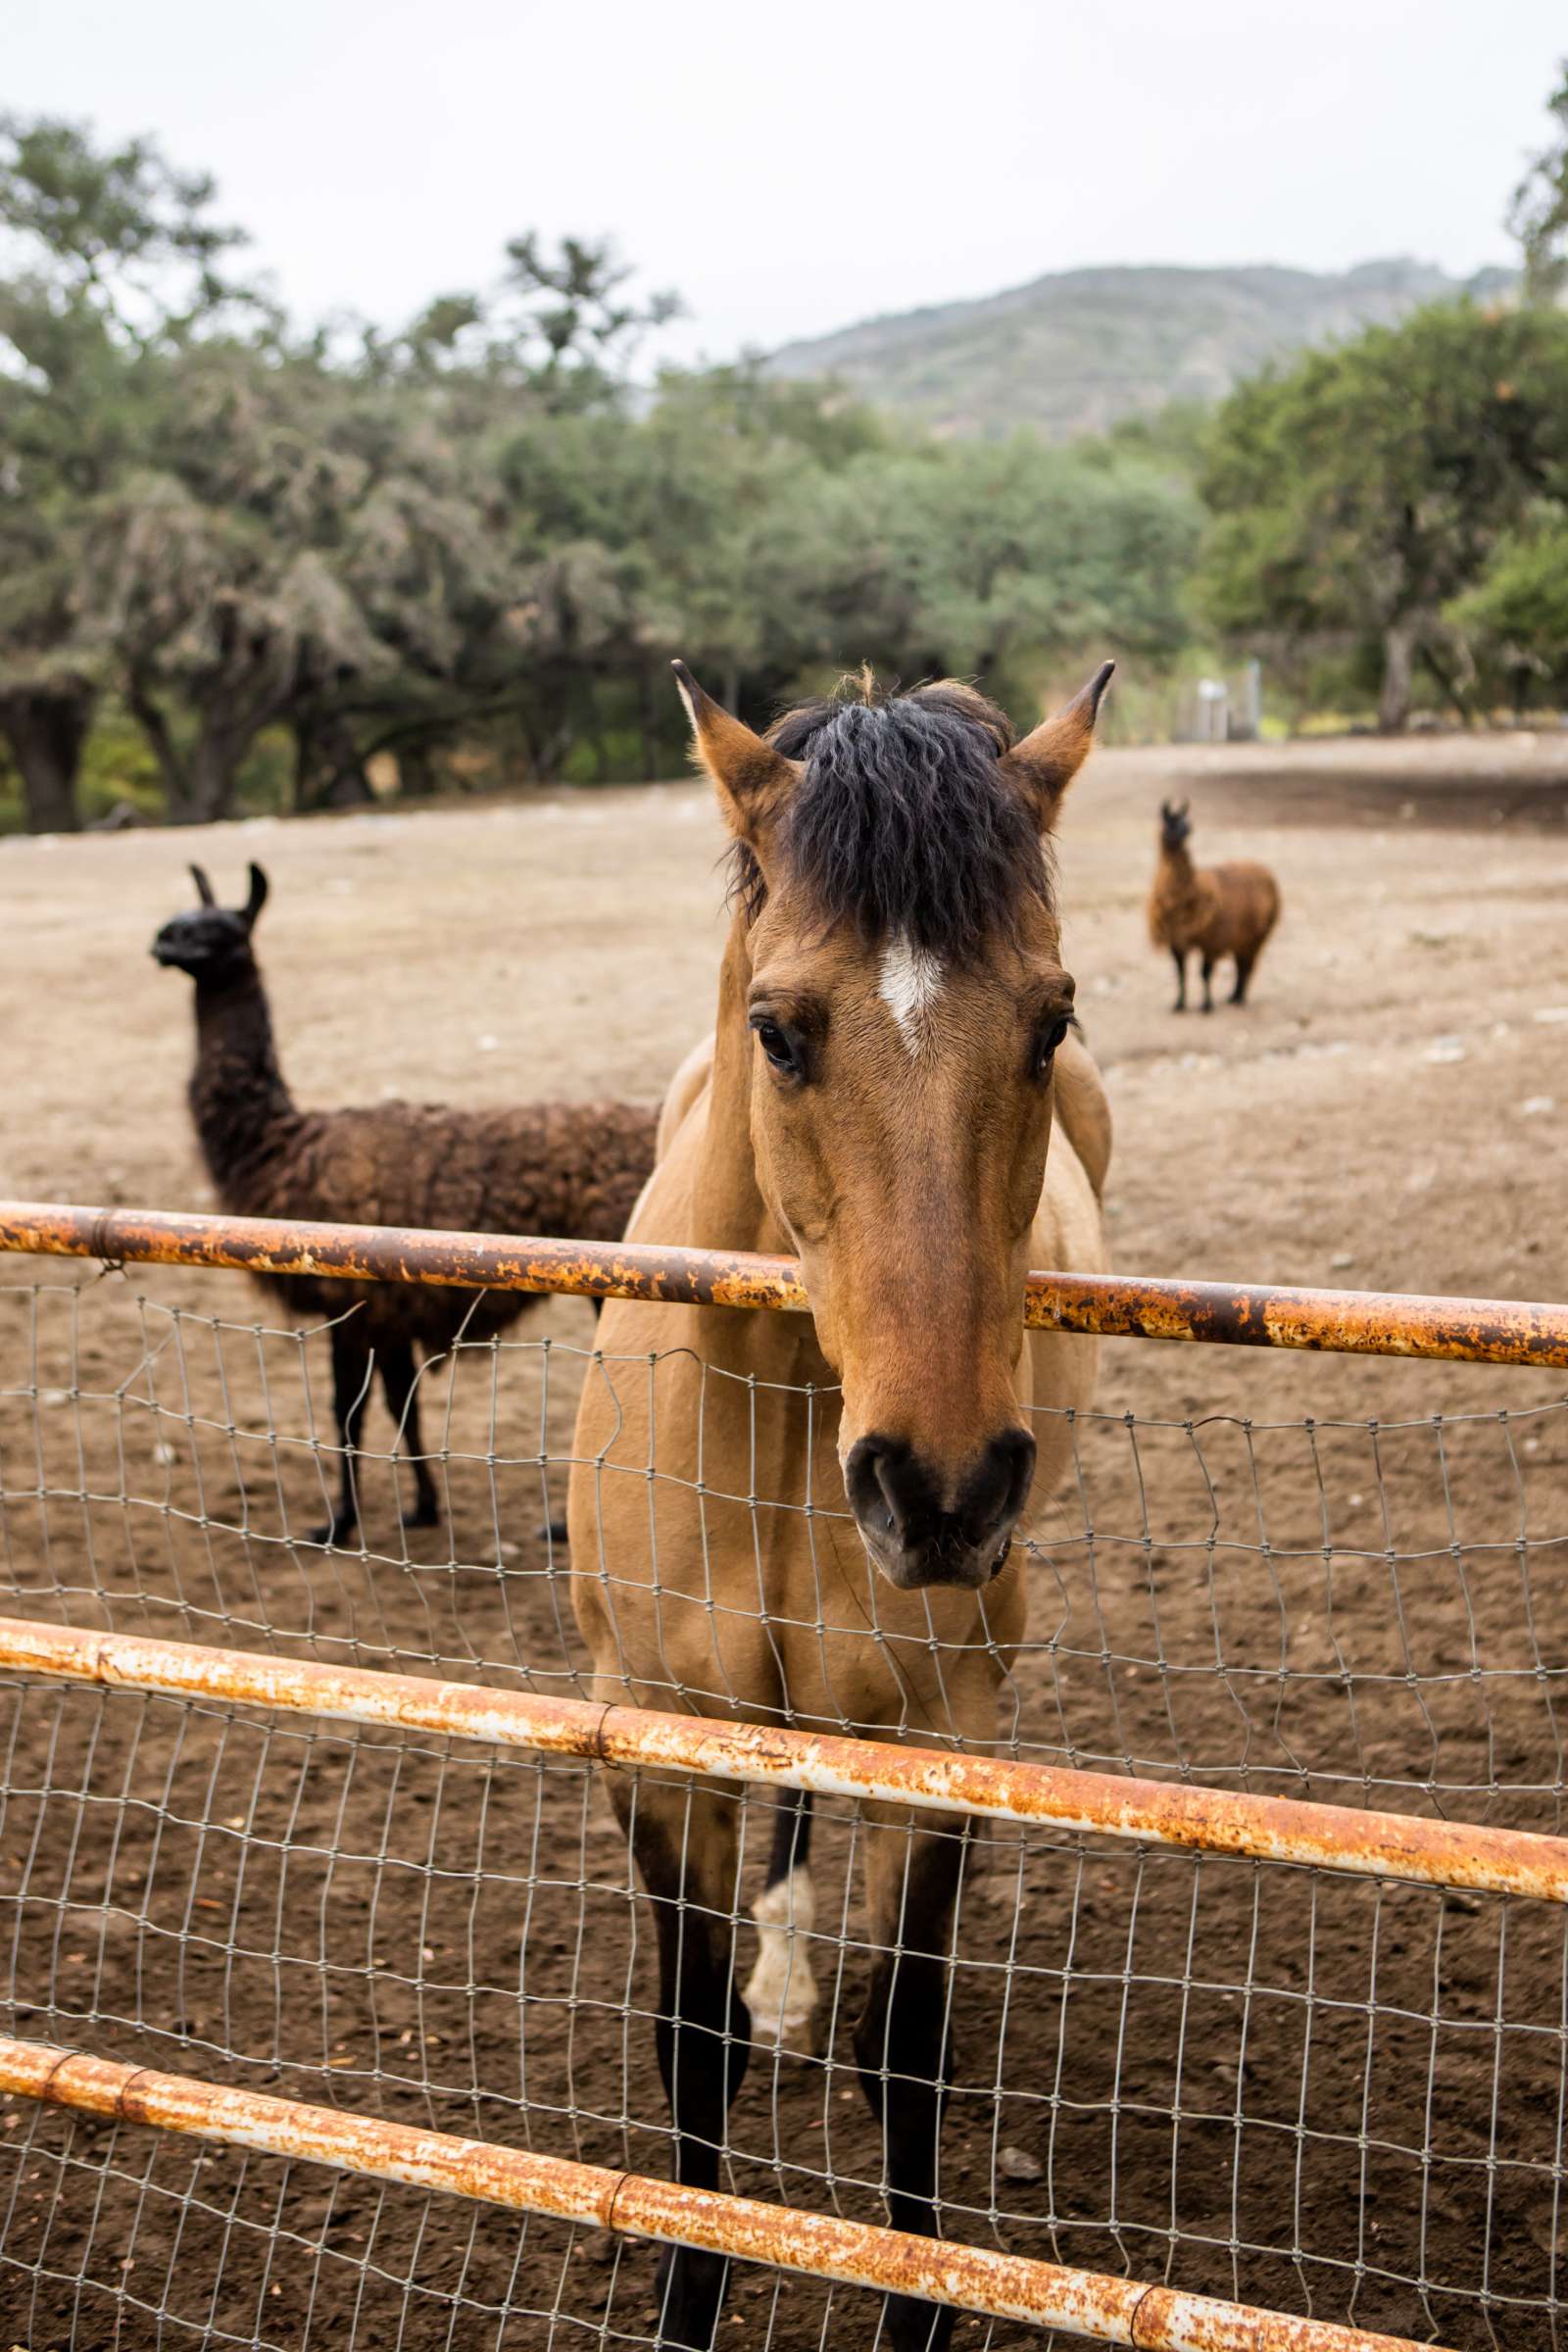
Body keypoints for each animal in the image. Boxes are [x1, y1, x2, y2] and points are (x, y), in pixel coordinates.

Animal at [566, 654, 1114, 2342]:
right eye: (781, 1030)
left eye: (1051, 1019)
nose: (938, 1487)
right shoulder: (655, 1738)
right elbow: (687, 2050)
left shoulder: (949, 1739)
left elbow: (908, 2048)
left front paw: (917, 2301)